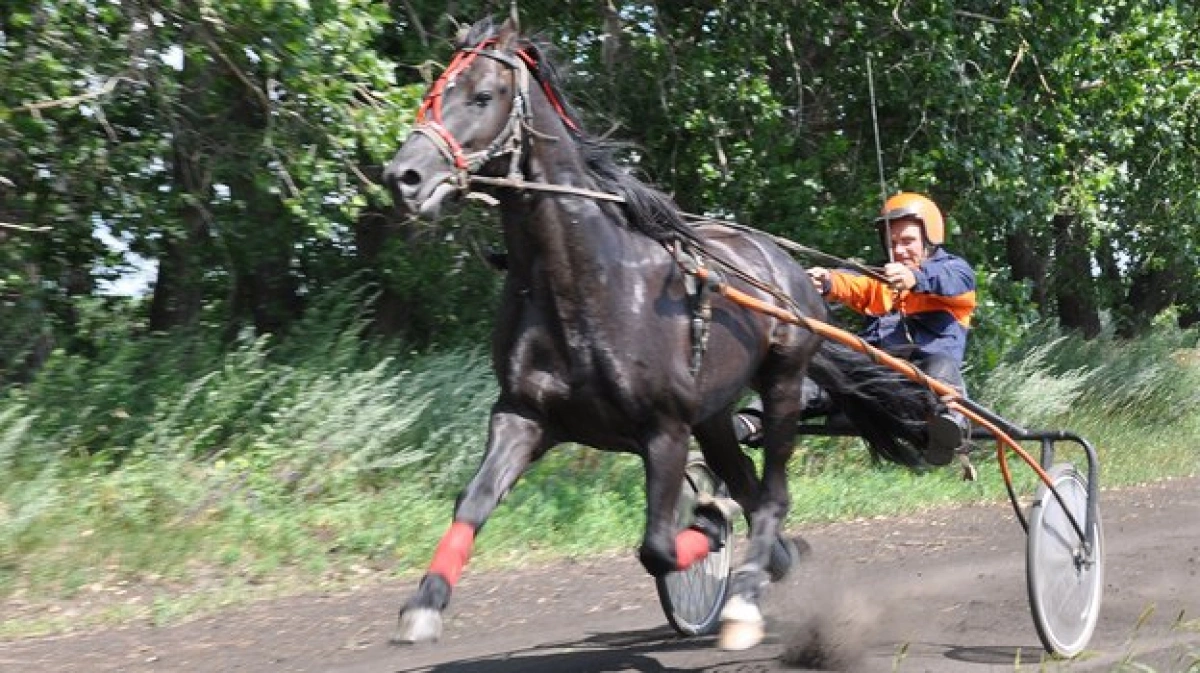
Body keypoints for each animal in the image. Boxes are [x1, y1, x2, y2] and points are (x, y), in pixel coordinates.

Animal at [379, 14, 931, 647]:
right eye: (433, 88)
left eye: (483, 94)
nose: (405, 176)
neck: (585, 284)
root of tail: (787, 269)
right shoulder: (523, 415)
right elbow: (473, 501)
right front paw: (424, 604)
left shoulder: (665, 431)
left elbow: (659, 546)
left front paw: (711, 527)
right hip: (715, 415)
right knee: (746, 483)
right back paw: (768, 561)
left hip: (783, 385)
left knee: (771, 496)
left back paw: (743, 595)